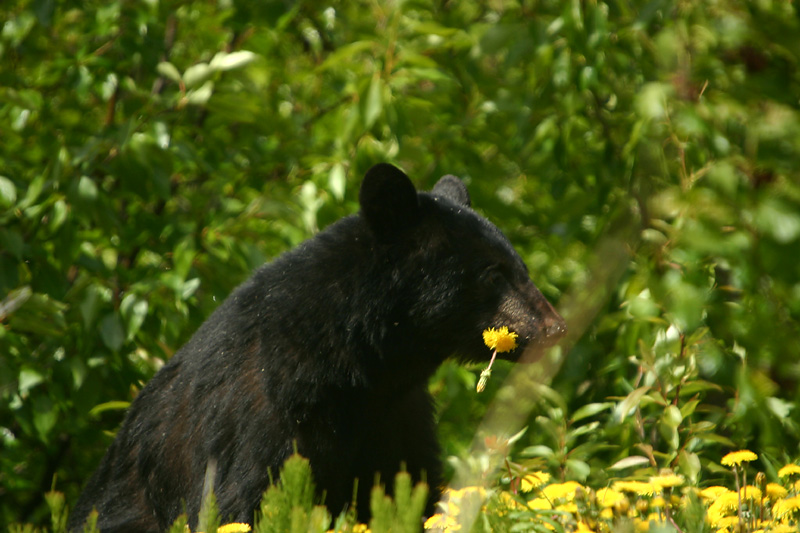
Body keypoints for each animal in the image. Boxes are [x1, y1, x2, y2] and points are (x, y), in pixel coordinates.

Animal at [70, 164, 568, 528]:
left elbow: (410, 490)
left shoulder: (397, 419)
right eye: (492, 273)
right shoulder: (261, 420)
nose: (556, 329)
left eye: (522, 267)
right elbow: (243, 502)